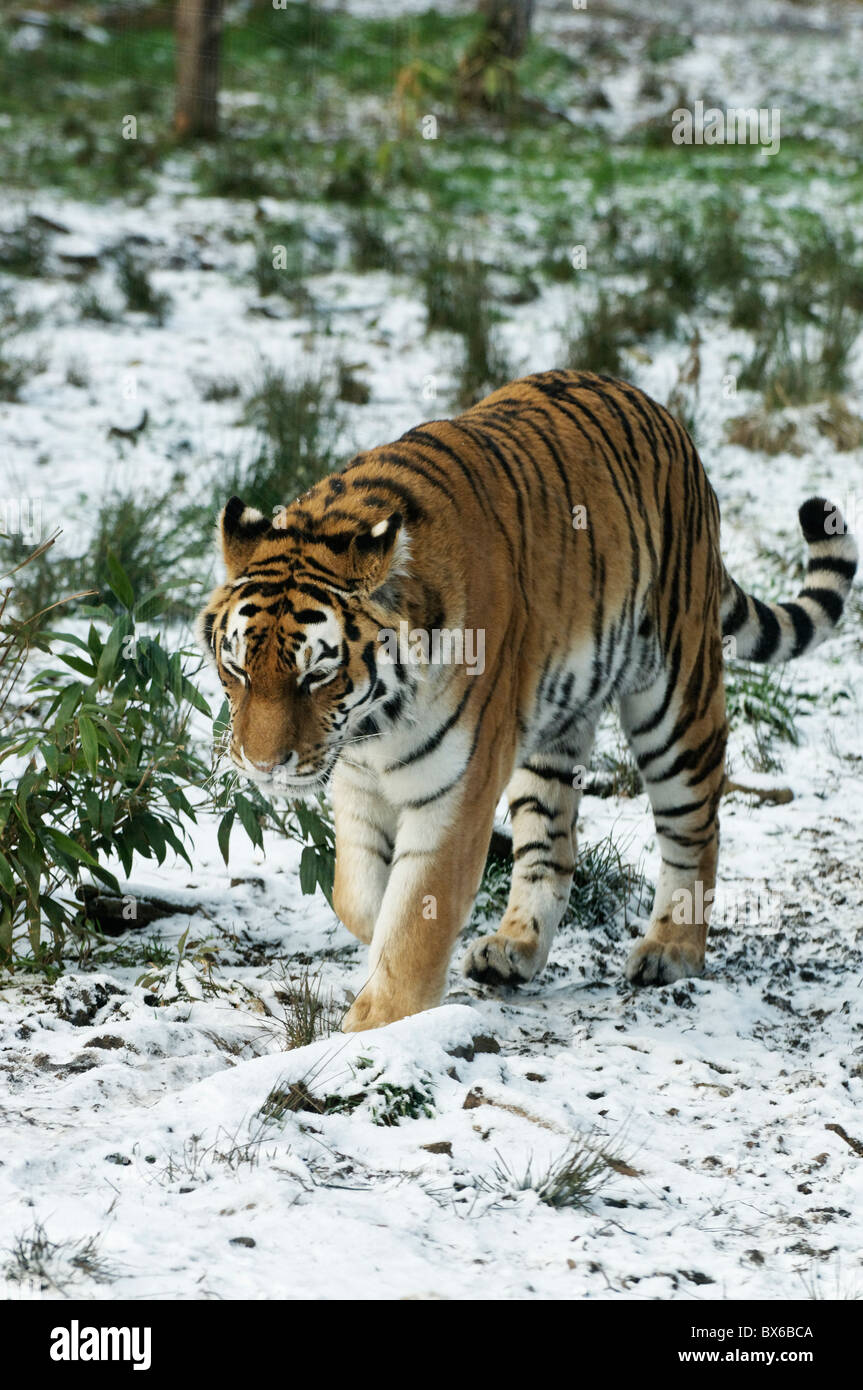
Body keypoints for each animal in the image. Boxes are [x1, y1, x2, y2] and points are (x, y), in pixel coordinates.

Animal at [197, 369, 856, 1034]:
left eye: (317, 675)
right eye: (237, 669)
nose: (262, 765)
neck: (374, 720)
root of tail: (661, 414)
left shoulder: (455, 789)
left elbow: (415, 921)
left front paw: (377, 1025)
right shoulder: (357, 780)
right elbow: (358, 896)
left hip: (676, 701)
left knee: (697, 828)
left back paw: (672, 950)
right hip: (552, 729)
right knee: (552, 846)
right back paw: (513, 948)